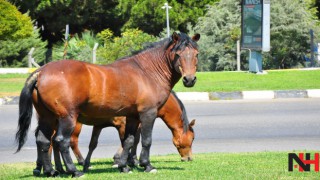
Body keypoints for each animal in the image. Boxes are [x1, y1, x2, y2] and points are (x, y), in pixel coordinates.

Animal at [15, 32, 200, 177]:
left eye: (196, 54)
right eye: (178, 54)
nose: (189, 79)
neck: (147, 72)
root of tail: (41, 72)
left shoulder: (132, 117)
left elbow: (128, 141)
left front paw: (124, 166)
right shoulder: (148, 113)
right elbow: (146, 140)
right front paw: (146, 165)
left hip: (47, 117)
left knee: (43, 140)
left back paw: (49, 171)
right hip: (68, 118)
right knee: (61, 141)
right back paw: (74, 171)